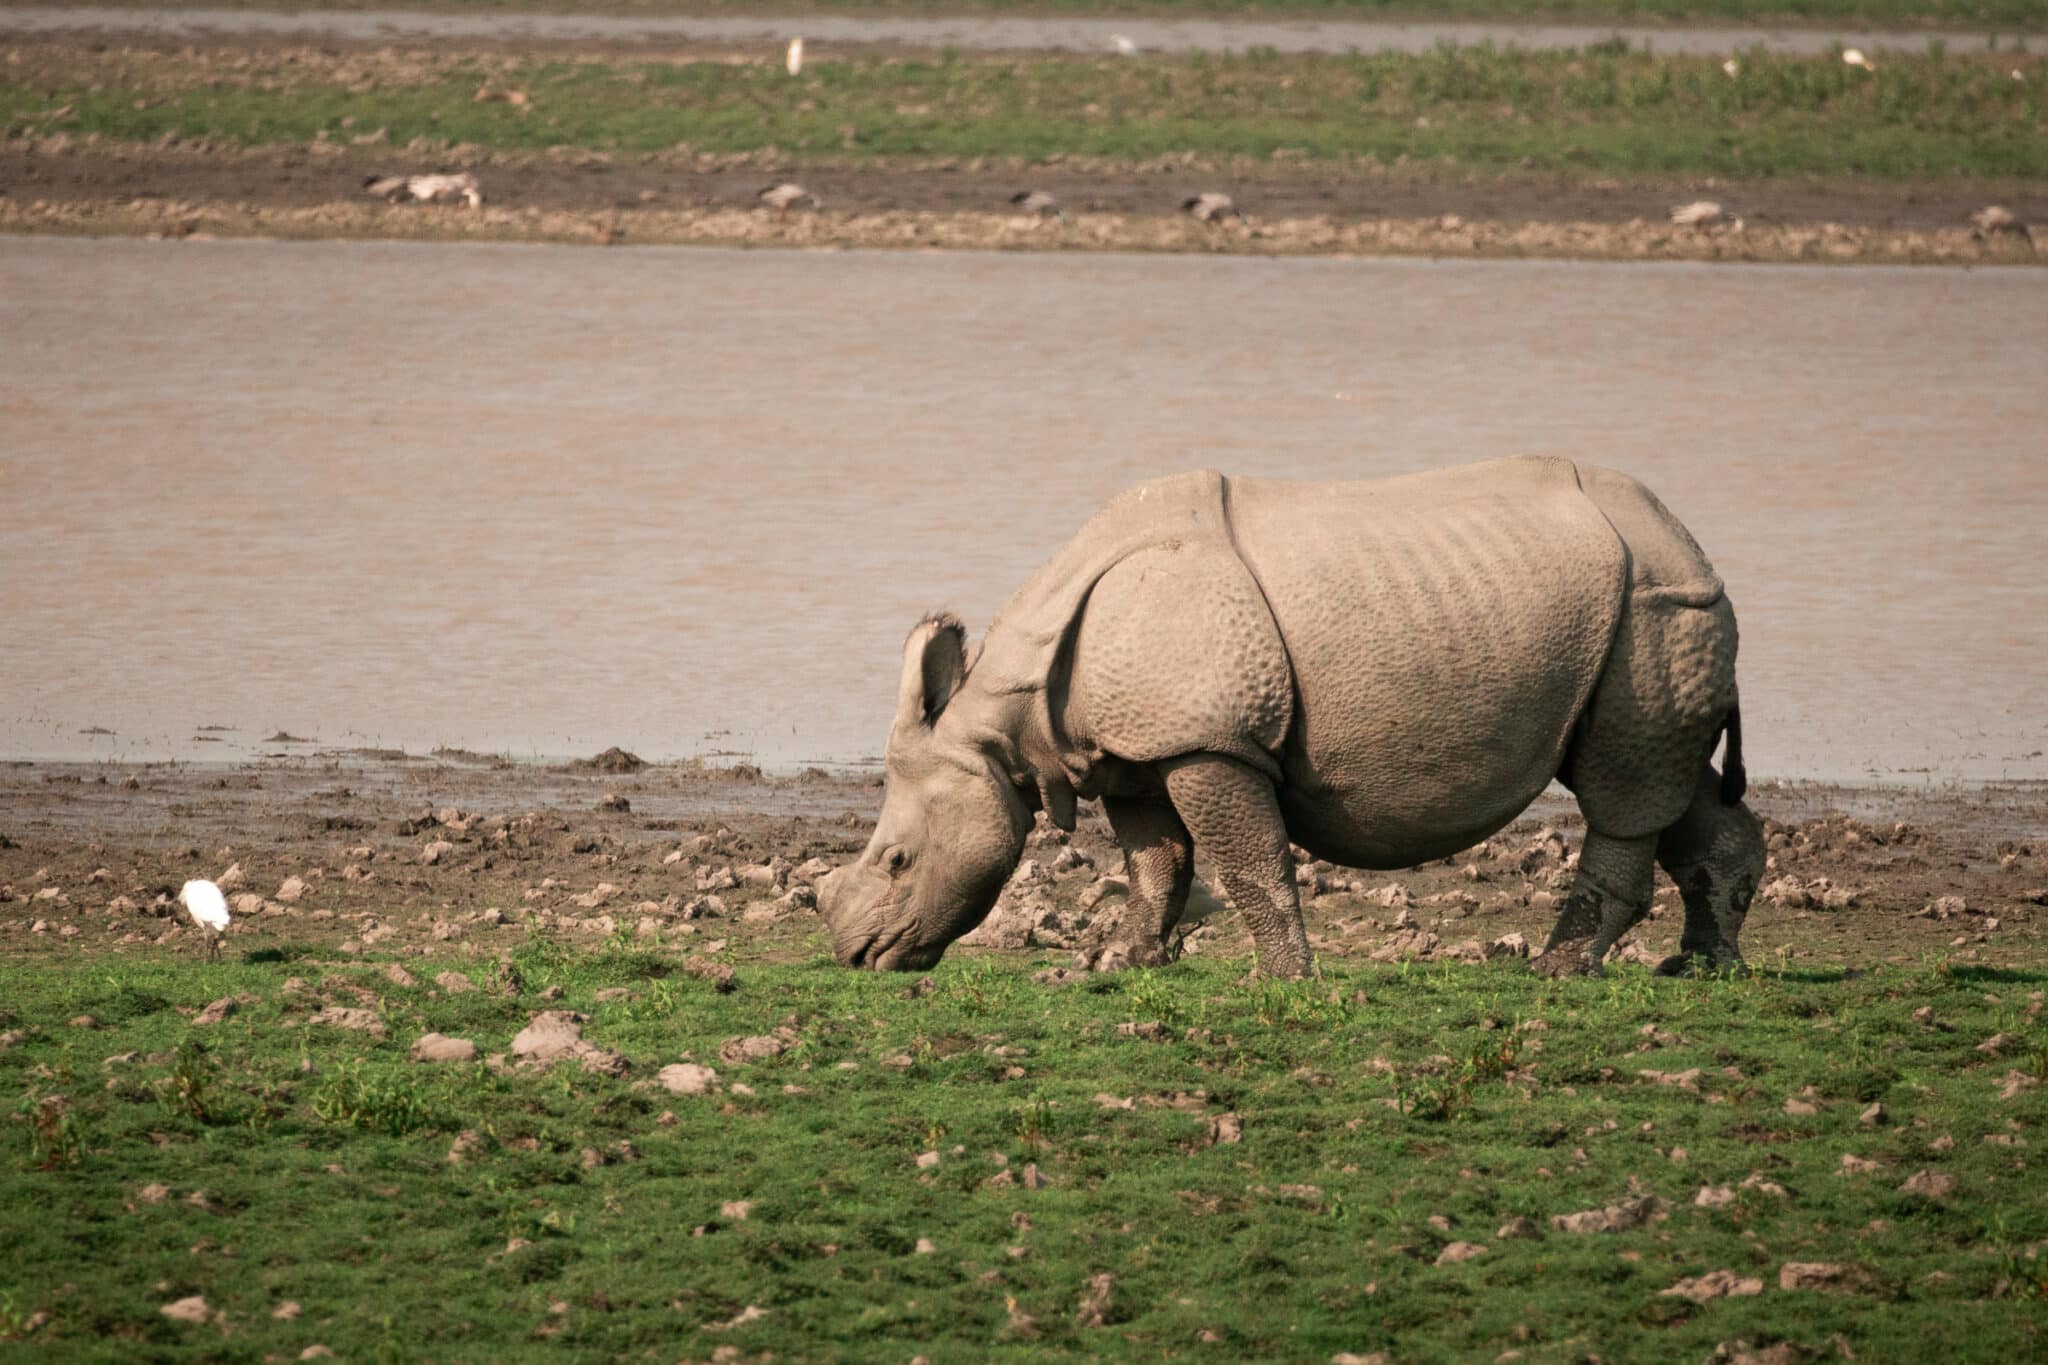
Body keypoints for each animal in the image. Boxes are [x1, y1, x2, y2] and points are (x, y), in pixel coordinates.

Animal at [818, 457, 1763, 980]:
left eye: (898, 860)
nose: (858, 955)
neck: (1007, 719)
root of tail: (1688, 542)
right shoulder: (1138, 747)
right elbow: (1154, 862)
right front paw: (1122, 960)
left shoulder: (1211, 742)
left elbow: (1250, 859)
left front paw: (1281, 978)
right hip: (1651, 606)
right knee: (1668, 781)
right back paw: (1701, 967)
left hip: (1653, 607)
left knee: (1622, 787)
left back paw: (1560, 971)